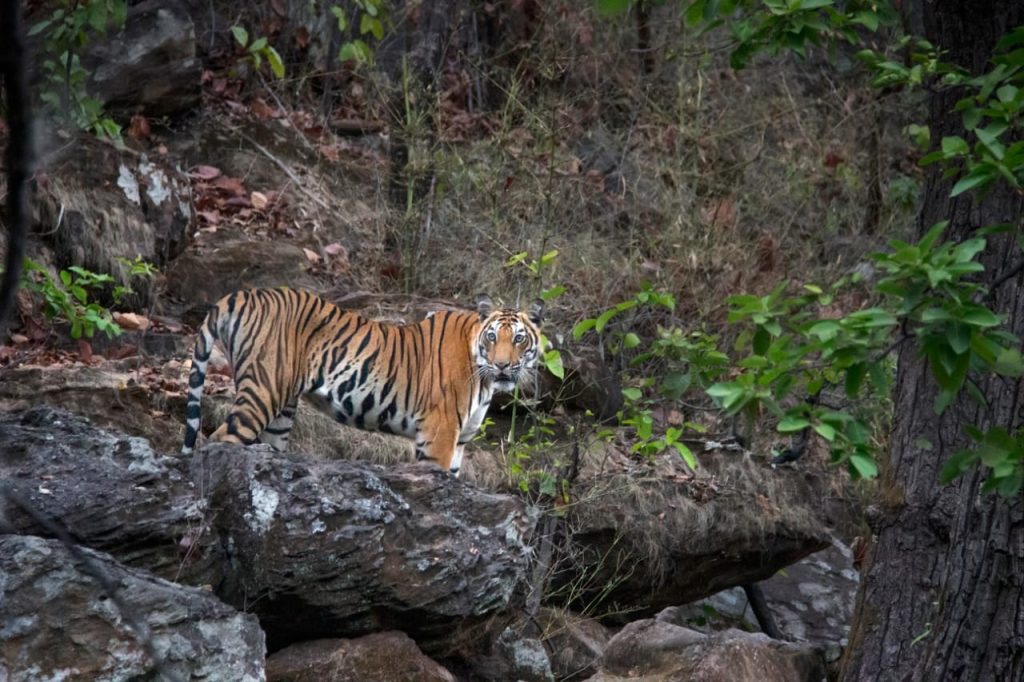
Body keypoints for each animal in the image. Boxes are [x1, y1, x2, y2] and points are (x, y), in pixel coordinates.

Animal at [181, 287, 544, 476]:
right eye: (493, 336)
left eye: (519, 339)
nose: (502, 366)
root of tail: (243, 294)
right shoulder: (438, 435)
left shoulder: (460, 442)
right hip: (262, 389)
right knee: (218, 440)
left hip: (280, 415)